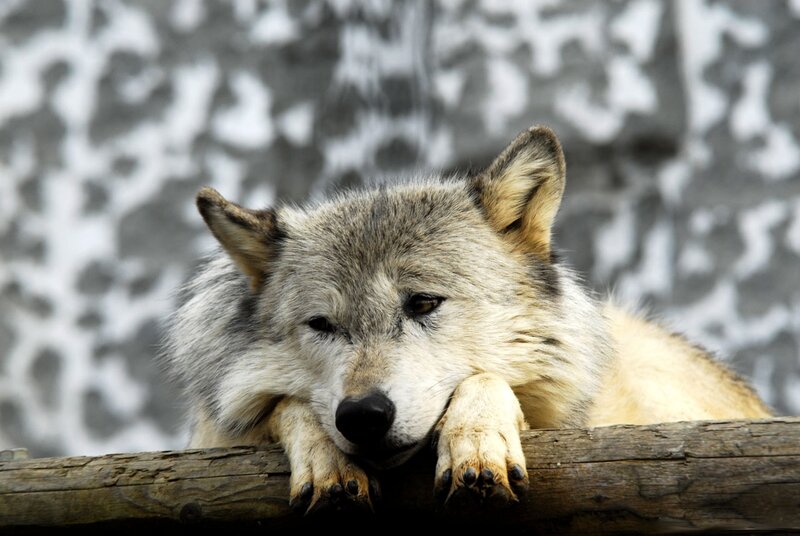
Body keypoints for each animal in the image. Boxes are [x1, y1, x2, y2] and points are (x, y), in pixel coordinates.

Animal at [163, 126, 771, 513]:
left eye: (424, 304)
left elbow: (486, 381)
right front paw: (326, 462)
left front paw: (476, 448)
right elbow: (284, 407)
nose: (362, 415)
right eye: (322, 326)